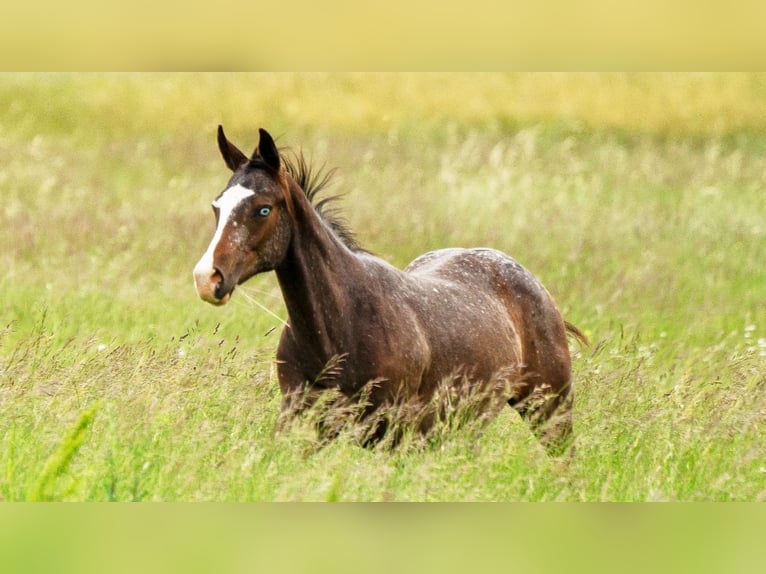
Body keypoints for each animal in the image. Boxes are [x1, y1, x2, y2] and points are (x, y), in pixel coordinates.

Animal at [193, 126, 586, 454]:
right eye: (217, 207)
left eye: (263, 209)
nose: (207, 278)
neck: (338, 328)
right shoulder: (303, 421)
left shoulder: (392, 433)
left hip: (549, 409)